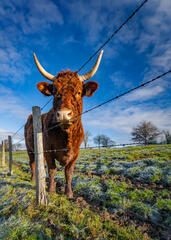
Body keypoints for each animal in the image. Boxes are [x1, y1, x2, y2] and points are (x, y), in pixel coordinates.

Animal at [24, 51, 103, 199]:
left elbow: (69, 172)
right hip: (29, 148)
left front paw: (69, 193)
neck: (66, 136)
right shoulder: (48, 150)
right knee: (32, 163)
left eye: (79, 92)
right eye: (55, 92)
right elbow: (52, 169)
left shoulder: (76, 153)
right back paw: (33, 179)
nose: (63, 114)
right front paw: (51, 190)